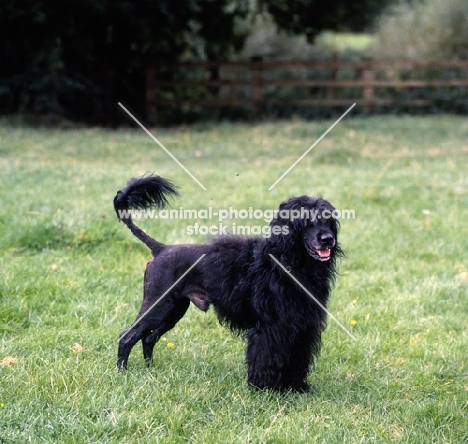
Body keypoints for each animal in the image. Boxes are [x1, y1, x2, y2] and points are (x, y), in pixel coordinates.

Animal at [113, 174, 340, 392]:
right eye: (306, 222)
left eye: (329, 221)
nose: (328, 239)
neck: (286, 262)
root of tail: (161, 249)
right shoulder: (270, 327)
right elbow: (266, 357)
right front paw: (264, 388)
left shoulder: (302, 327)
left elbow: (297, 359)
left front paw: (295, 386)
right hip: (158, 305)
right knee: (127, 337)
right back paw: (122, 373)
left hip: (173, 311)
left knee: (148, 339)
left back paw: (150, 369)